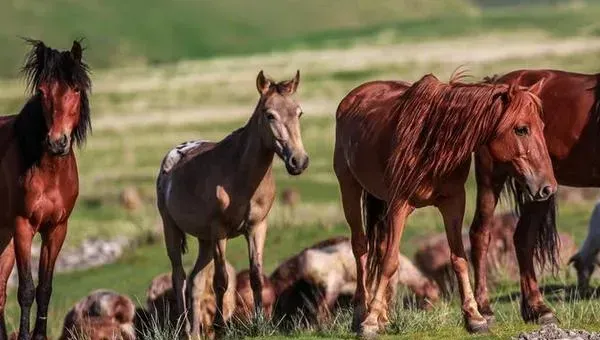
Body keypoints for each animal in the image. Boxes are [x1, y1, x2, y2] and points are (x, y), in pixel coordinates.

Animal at [0, 39, 91, 340]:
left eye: (76, 89)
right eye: (42, 91)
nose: (57, 142)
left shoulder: (56, 229)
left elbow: (45, 288)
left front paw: (39, 335)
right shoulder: (23, 227)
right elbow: (27, 289)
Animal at [155, 69, 310, 338]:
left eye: (298, 112)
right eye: (270, 115)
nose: (298, 161)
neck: (240, 174)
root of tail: (172, 155)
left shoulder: (257, 227)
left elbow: (256, 275)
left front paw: (260, 323)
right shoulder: (220, 232)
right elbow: (222, 281)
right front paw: (221, 327)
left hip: (204, 240)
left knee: (195, 281)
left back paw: (195, 332)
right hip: (172, 229)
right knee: (179, 276)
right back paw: (185, 329)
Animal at [270, 236, 438, 324]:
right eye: (433, 297)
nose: (432, 311)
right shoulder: (391, 283)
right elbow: (389, 301)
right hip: (332, 283)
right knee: (322, 310)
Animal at [330, 73, 556, 336]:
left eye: (543, 128)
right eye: (521, 129)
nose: (548, 187)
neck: (432, 141)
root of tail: (353, 97)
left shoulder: (453, 203)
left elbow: (459, 259)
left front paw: (474, 317)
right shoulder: (399, 205)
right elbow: (390, 263)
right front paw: (370, 322)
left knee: (380, 246)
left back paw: (384, 317)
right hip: (349, 188)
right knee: (360, 248)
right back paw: (361, 314)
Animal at [468, 70, 600, 326]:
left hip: (539, 189)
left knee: (523, 237)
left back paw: (537, 309)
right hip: (493, 179)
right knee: (481, 233)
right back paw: (485, 309)